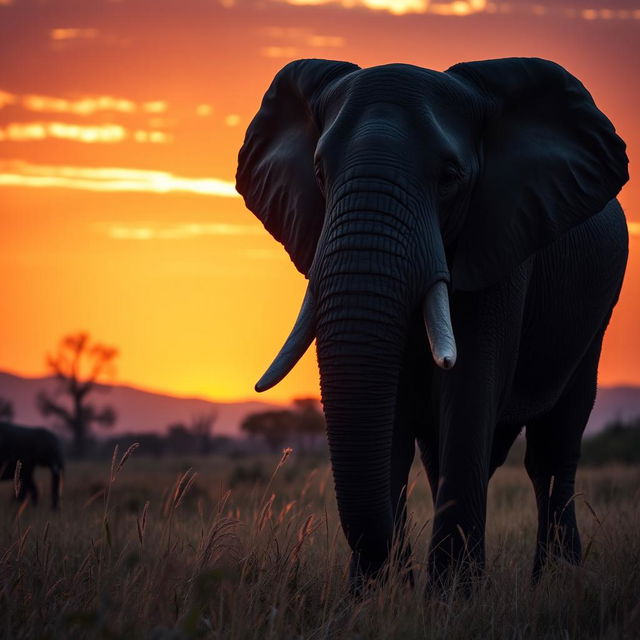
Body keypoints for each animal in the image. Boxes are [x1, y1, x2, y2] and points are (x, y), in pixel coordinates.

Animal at [234, 57, 624, 588]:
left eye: (450, 177)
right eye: (318, 172)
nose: (395, 567)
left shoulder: (500, 244)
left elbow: (469, 389)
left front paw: (452, 596)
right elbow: (395, 415)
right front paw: (375, 597)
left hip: (594, 316)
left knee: (552, 447)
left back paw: (556, 581)